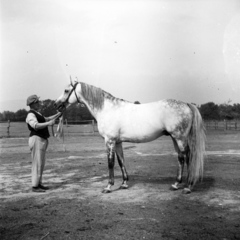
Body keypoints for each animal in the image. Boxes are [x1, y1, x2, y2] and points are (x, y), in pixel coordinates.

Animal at [54, 80, 206, 193]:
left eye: (66, 90)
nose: (56, 104)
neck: (107, 109)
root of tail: (187, 104)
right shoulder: (118, 142)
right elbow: (121, 161)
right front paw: (124, 184)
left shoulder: (109, 141)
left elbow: (110, 163)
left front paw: (108, 186)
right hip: (175, 138)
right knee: (181, 158)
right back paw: (176, 184)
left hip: (180, 138)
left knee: (188, 156)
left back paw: (188, 186)